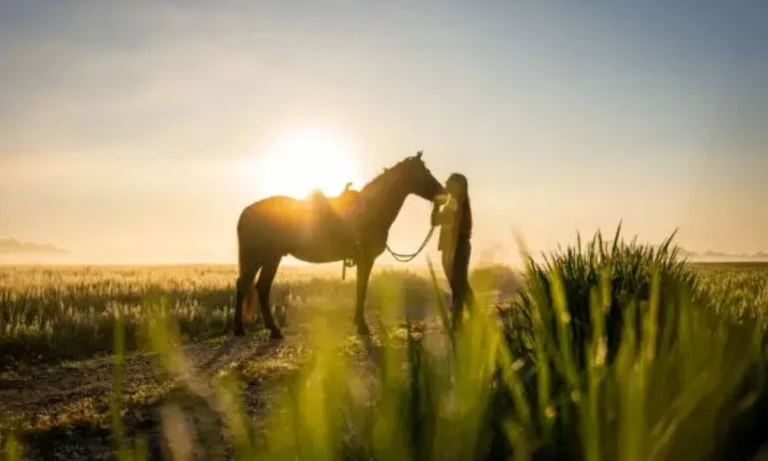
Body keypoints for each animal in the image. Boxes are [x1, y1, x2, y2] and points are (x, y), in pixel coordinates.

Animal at [234, 151, 444, 338]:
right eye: (423, 171)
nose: (443, 193)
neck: (371, 209)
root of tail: (246, 212)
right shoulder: (366, 259)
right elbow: (362, 288)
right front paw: (362, 325)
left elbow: (361, 288)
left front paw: (359, 322)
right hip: (261, 257)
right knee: (248, 285)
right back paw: (242, 329)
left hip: (269, 257)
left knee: (259, 286)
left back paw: (271, 330)